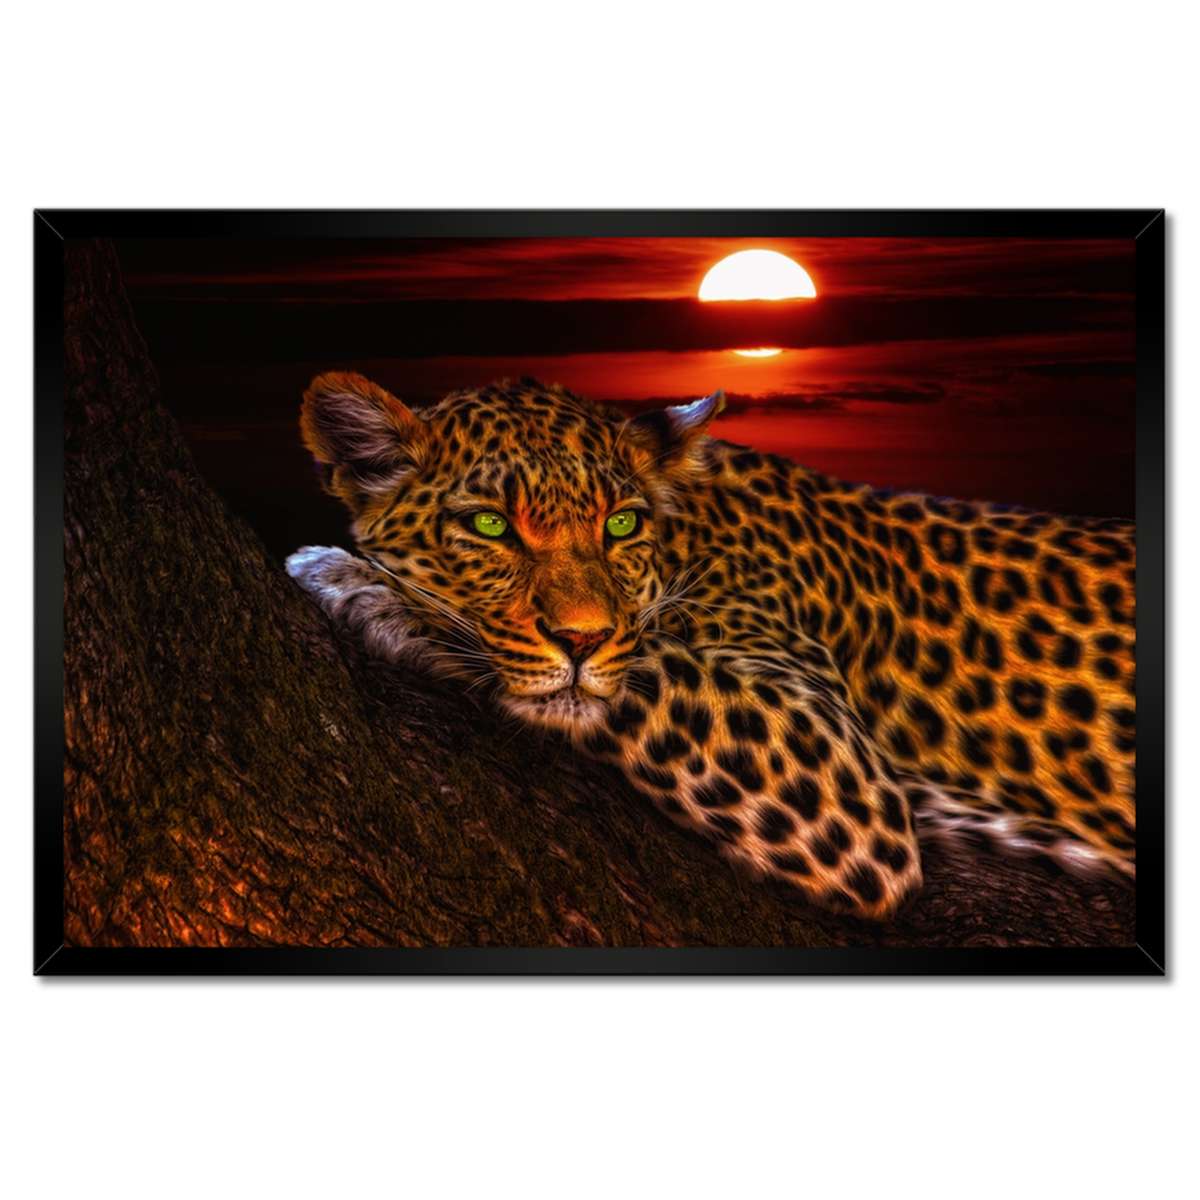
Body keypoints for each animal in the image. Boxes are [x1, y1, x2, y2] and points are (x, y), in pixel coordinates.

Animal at [286, 372, 1136, 920]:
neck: (689, 536)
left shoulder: (835, 768)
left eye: (620, 523)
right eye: (490, 525)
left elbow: (636, 670)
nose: (581, 638)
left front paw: (361, 584)